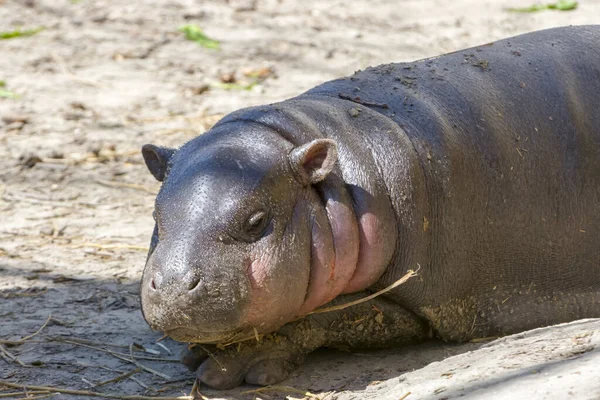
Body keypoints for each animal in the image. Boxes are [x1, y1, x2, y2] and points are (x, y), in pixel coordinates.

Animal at [139, 25, 600, 388]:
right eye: (156, 215)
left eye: (256, 221)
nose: (175, 286)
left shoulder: (418, 304)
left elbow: (329, 316)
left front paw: (224, 368)